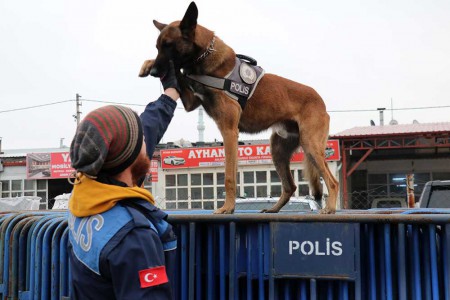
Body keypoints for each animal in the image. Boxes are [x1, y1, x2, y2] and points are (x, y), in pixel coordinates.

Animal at [139, 1, 340, 213]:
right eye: (157, 47)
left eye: (168, 45)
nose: (155, 72)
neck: (203, 57)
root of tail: (321, 101)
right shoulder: (191, 102)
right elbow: (179, 74)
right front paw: (147, 64)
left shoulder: (229, 131)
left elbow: (229, 177)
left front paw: (227, 207)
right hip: (278, 149)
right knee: (290, 186)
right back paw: (273, 209)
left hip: (310, 144)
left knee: (332, 181)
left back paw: (329, 208)